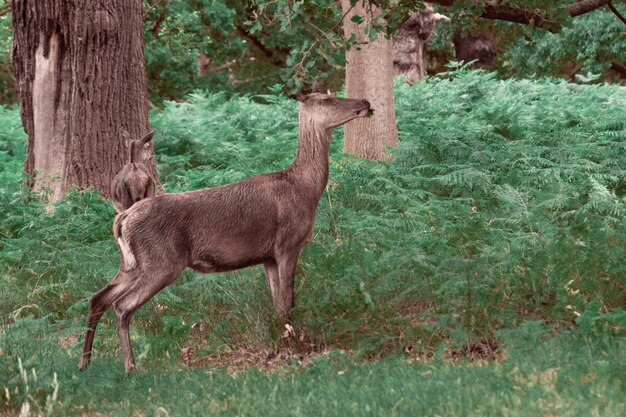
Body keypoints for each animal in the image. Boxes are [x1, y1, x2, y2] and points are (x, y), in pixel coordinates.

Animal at [78, 92, 370, 372]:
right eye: (327, 98)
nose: (365, 102)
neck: (305, 189)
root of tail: (123, 218)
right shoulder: (288, 244)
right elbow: (289, 302)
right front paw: (296, 345)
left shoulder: (268, 256)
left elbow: (278, 304)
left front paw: (280, 341)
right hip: (162, 261)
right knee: (122, 306)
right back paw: (129, 367)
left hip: (132, 263)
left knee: (98, 298)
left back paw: (85, 362)